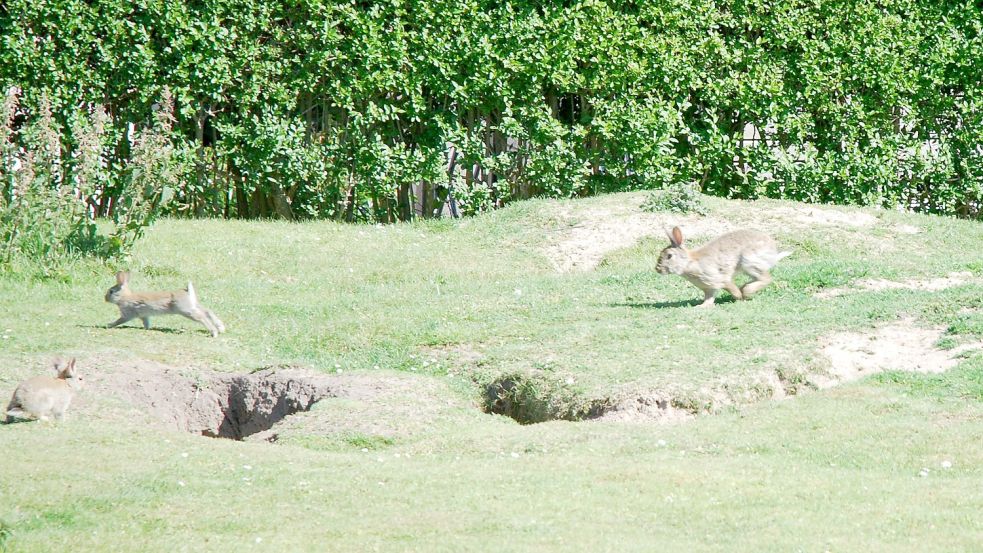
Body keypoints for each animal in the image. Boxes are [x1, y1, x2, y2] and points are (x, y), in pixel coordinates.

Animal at [660, 226, 792, 308]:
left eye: (669, 256)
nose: (658, 269)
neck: (689, 263)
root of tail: (773, 252)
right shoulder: (709, 287)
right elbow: (709, 298)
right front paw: (702, 306)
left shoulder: (720, 278)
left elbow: (730, 287)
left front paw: (739, 297)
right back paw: (745, 288)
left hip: (749, 261)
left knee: (766, 278)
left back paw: (746, 292)